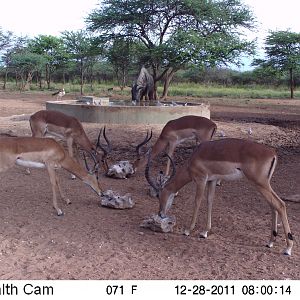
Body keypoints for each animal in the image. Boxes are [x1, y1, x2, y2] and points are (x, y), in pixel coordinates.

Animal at [146, 138, 294, 255]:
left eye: (159, 195)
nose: (160, 213)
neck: (194, 158)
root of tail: (272, 152)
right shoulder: (212, 181)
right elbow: (209, 201)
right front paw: (204, 232)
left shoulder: (201, 180)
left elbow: (197, 202)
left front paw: (188, 230)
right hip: (263, 185)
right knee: (273, 206)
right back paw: (270, 242)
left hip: (260, 184)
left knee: (280, 204)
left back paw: (288, 248)